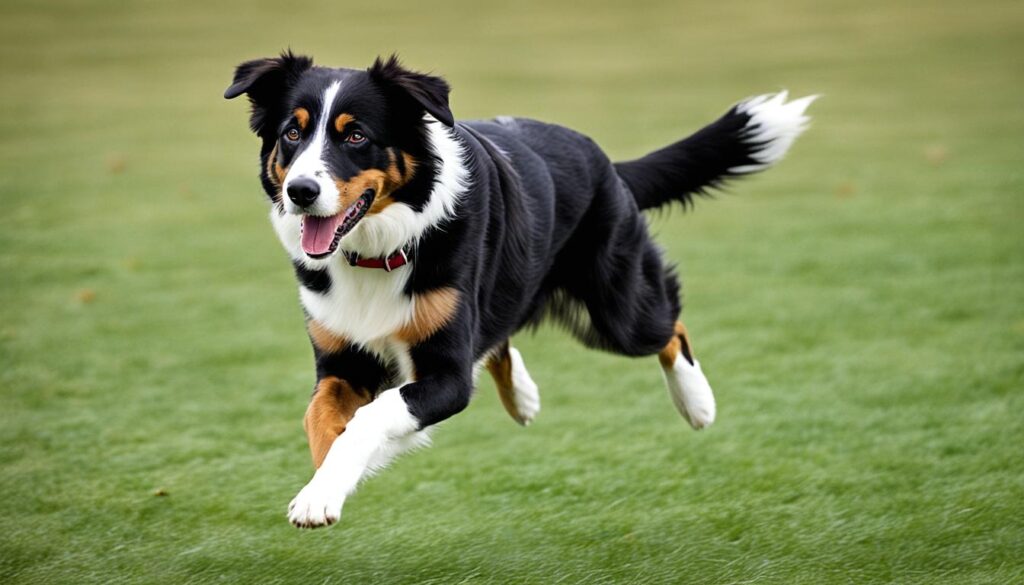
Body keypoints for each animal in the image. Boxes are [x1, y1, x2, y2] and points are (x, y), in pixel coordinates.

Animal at [224, 52, 815, 528]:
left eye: (355, 135)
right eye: (292, 134)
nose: (301, 191)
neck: (379, 249)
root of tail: (603, 159)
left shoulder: (445, 374)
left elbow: (371, 418)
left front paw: (326, 490)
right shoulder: (341, 358)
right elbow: (322, 419)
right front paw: (326, 485)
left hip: (619, 309)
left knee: (670, 325)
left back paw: (697, 403)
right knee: (501, 335)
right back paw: (525, 397)